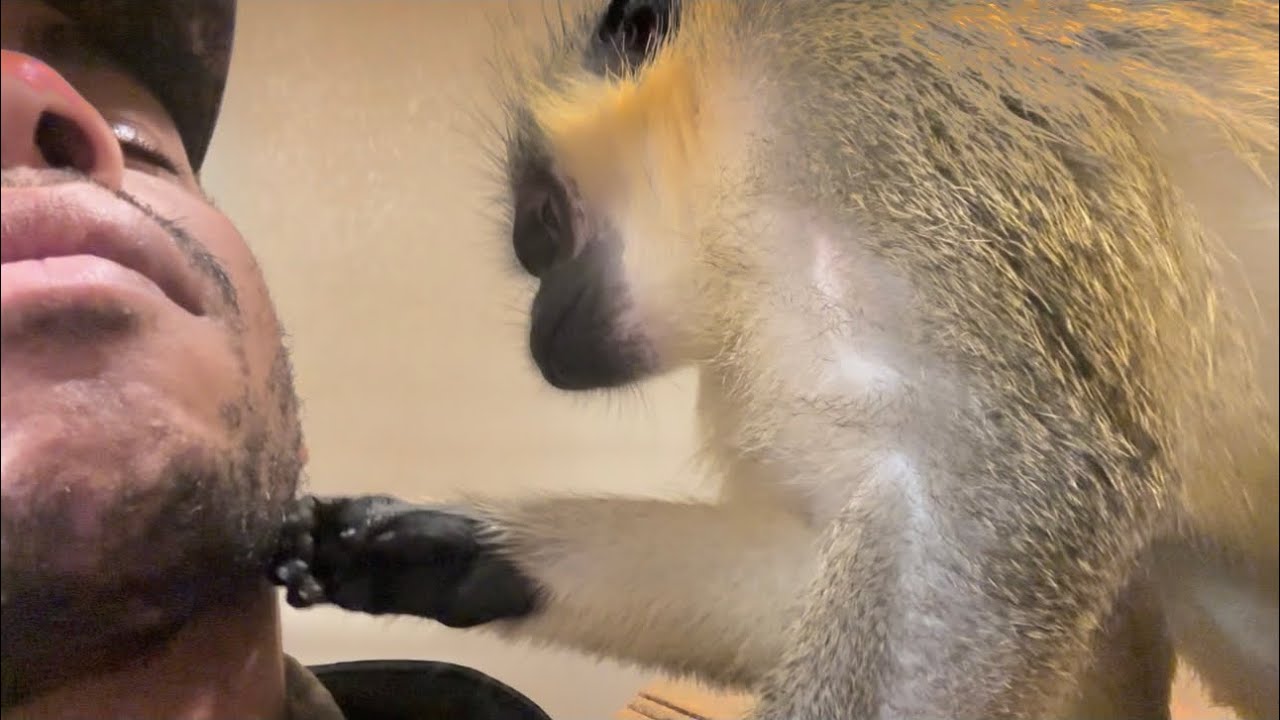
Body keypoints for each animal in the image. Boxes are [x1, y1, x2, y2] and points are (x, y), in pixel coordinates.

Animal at [271, 1, 1279, 718]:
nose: (535, 325)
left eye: (542, 227)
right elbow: (830, 559)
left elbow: (1015, 491)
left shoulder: (881, 136)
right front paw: (445, 551)